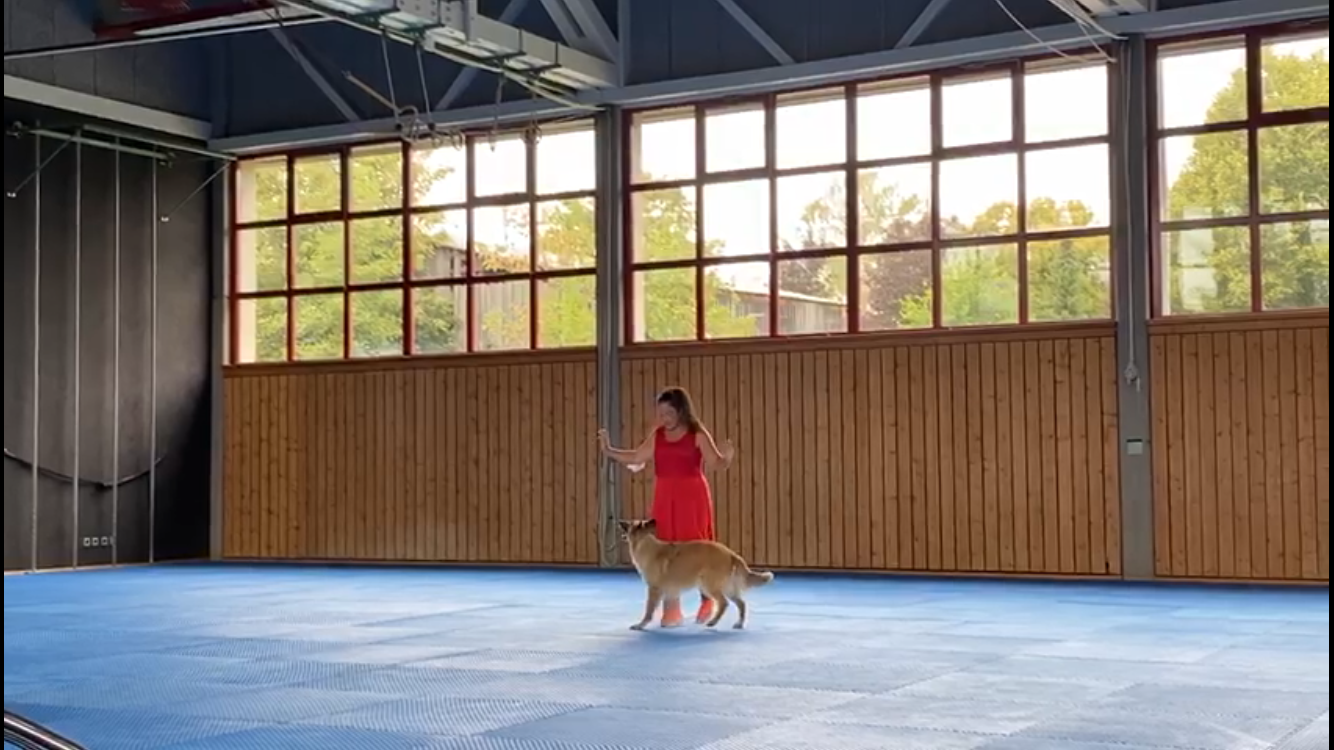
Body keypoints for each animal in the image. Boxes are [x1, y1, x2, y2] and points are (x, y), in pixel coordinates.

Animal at [618, 519, 774, 631]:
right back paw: (739, 624)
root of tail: (731, 553)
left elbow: (648, 610)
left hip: (708, 585)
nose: (619, 521)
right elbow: (669, 604)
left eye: (629, 524)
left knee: (723, 603)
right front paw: (671, 622)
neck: (645, 543)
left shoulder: (654, 589)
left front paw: (641, 625)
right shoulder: (670, 590)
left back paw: (713, 622)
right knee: (741, 604)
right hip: (727, 587)